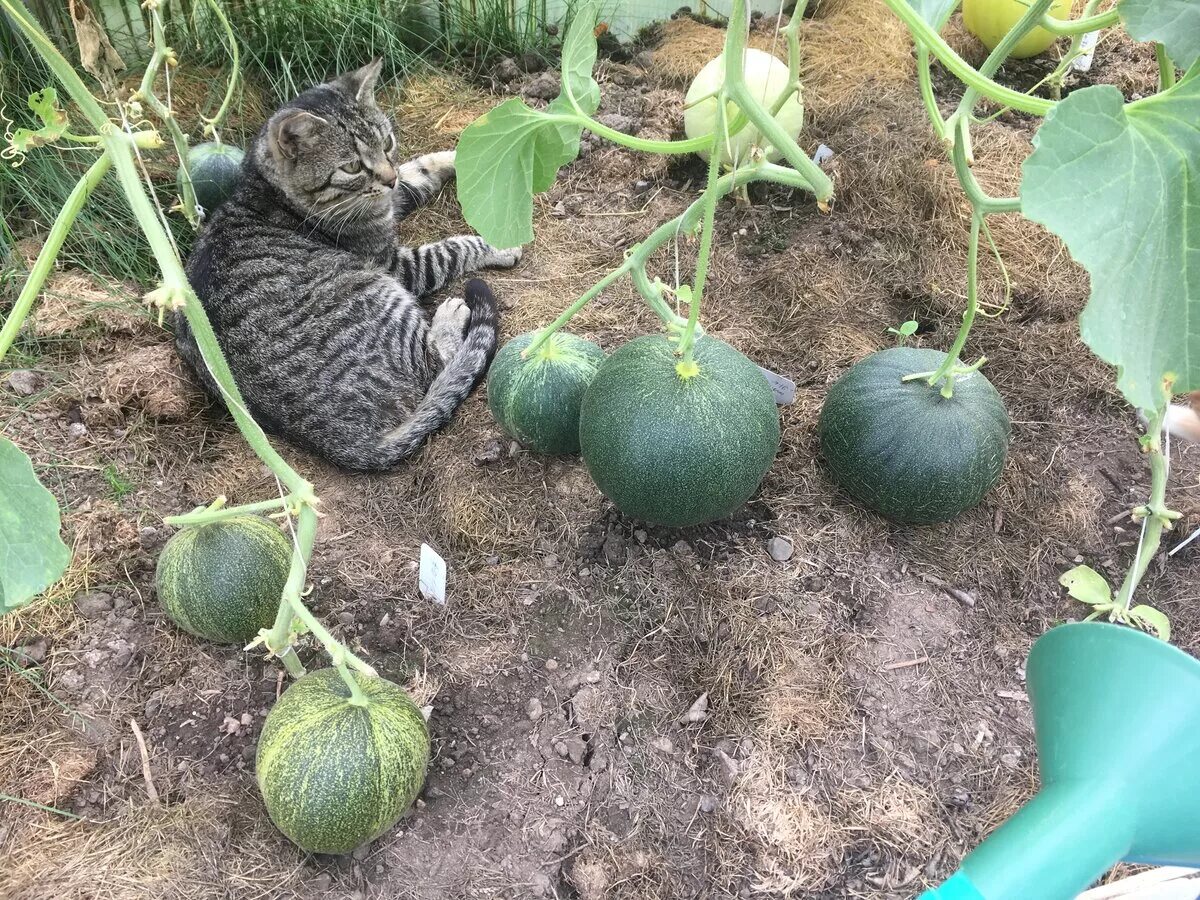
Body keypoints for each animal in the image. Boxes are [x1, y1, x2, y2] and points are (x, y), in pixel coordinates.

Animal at [177, 60, 520, 472]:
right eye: (353, 166)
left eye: (387, 143)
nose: (386, 178)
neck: (271, 191)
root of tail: (348, 445)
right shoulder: (395, 263)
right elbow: (451, 250)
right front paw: (497, 244)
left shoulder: (394, 193)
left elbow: (418, 168)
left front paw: (460, 156)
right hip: (376, 291)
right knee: (435, 362)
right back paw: (451, 315)